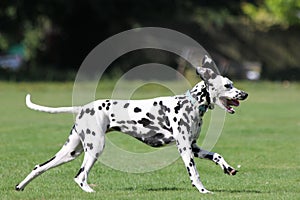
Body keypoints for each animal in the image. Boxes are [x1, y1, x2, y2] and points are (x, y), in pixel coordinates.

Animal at [15, 55, 247, 194]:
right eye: (228, 85)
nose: (244, 94)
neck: (190, 103)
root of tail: (83, 107)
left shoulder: (194, 147)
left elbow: (217, 155)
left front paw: (228, 168)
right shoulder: (184, 149)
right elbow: (195, 174)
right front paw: (203, 191)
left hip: (71, 151)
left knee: (39, 167)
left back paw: (20, 186)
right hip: (95, 148)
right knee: (80, 176)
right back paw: (90, 191)